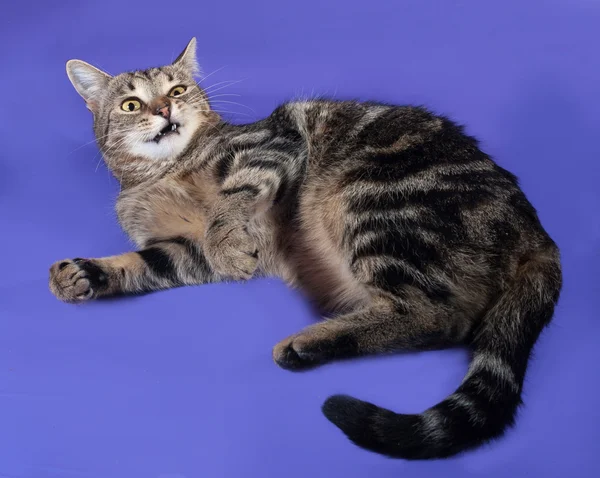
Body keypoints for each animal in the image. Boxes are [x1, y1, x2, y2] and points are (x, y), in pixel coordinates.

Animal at [48, 38, 564, 460]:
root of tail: (538, 233)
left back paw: (306, 343)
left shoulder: (266, 148)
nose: (162, 111)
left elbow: (231, 201)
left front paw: (229, 242)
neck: (162, 172)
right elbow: (143, 264)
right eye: (132, 103)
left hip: (373, 201)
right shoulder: (182, 249)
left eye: (177, 91)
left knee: (436, 317)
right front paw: (83, 274)